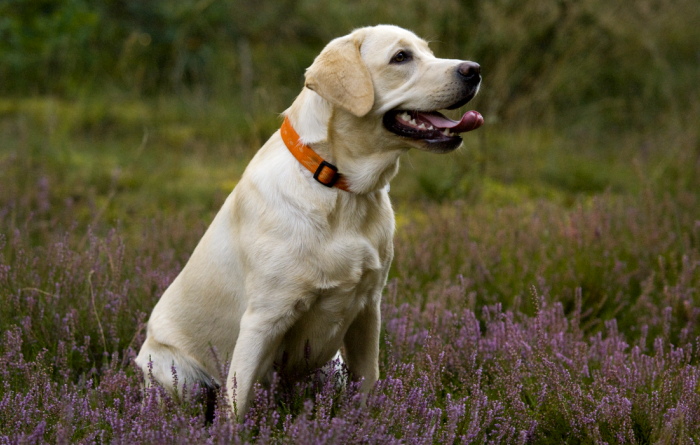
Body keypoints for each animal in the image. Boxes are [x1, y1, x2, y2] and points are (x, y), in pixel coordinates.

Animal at [135, 24, 482, 418]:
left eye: (428, 52)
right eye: (401, 57)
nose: (474, 69)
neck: (341, 188)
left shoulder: (368, 309)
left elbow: (369, 383)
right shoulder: (263, 319)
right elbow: (236, 405)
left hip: (333, 366)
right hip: (178, 376)